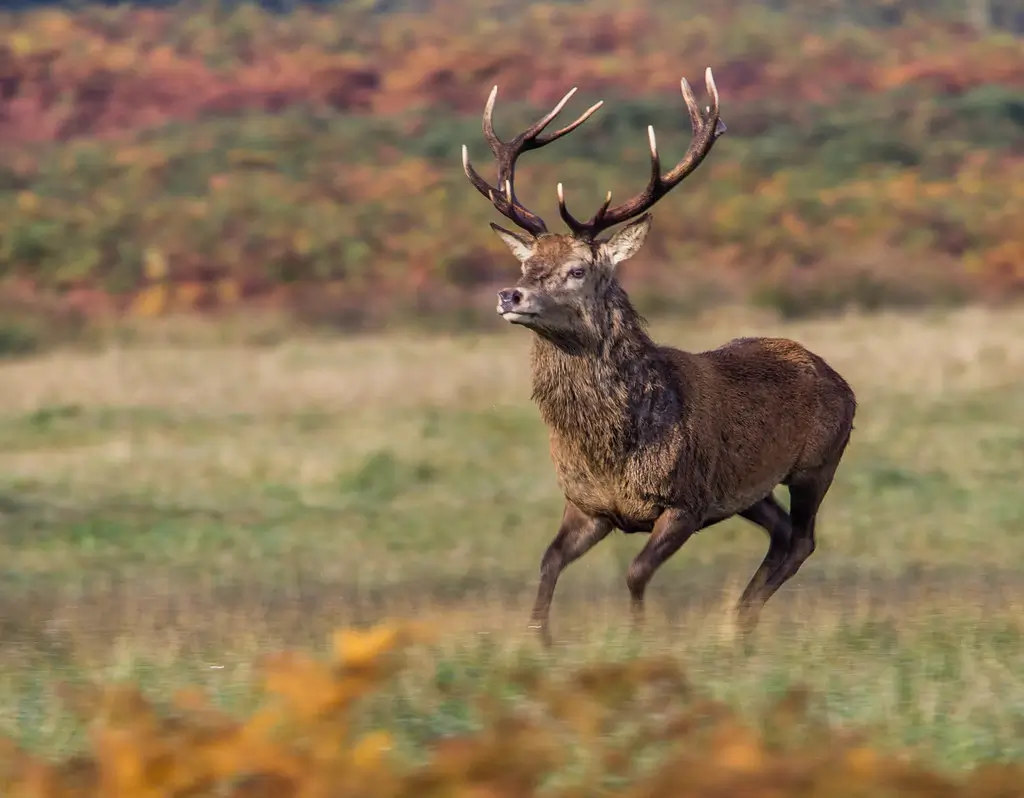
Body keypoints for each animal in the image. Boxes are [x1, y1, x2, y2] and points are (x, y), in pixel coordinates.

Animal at [460, 68, 856, 647]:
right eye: (528, 264)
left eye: (578, 269)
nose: (509, 295)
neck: (612, 451)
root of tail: (837, 377)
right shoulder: (588, 506)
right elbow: (549, 561)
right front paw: (539, 639)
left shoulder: (685, 502)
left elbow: (635, 573)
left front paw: (640, 639)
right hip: (748, 490)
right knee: (783, 533)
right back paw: (740, 621)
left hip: (818, 463)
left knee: (803, 539)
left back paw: (740, 620)